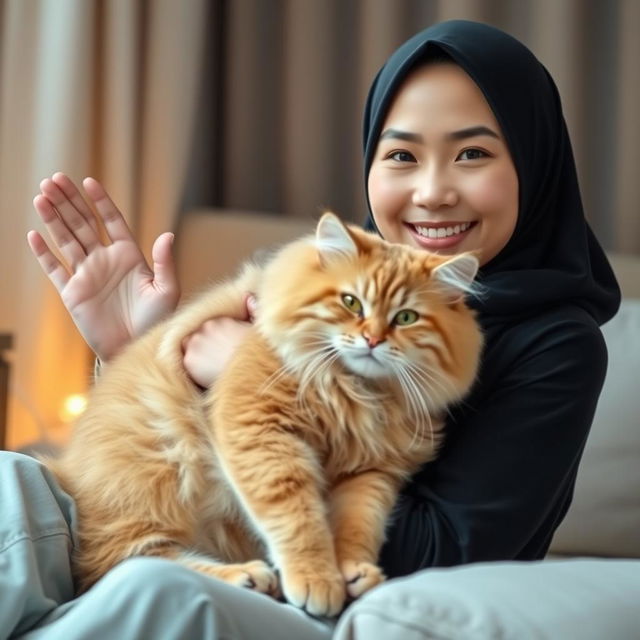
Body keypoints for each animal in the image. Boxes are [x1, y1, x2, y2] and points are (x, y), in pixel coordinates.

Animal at [45, 214, 482, 616]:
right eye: (351, 302)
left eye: (406, 318)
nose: (372, 340)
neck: (355, 392)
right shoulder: (260, 427)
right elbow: (297, 517)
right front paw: (316, 580)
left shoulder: (371, 472)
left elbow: (358, 524)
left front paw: (353, 571)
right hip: (152, 483)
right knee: (122, 561)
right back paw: (245, 576)